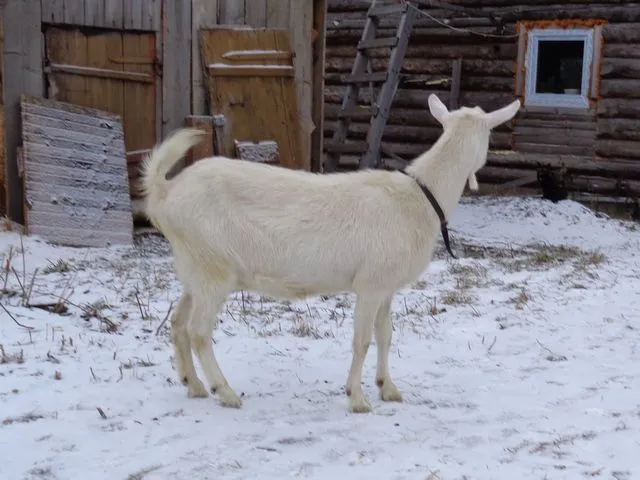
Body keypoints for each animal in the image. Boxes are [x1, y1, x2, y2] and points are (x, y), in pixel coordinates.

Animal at [140, 93, 520, 412]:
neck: (419, 198)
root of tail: (165, 193)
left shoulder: (386, 285)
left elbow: (385, 334)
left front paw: (388, 388)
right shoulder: (370, 284)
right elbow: (362, 340)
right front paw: (358, 398)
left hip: (194, 267)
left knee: (178, 321)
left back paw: (194, 385)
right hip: (213, 268)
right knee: (198, 331)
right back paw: (226, 392)